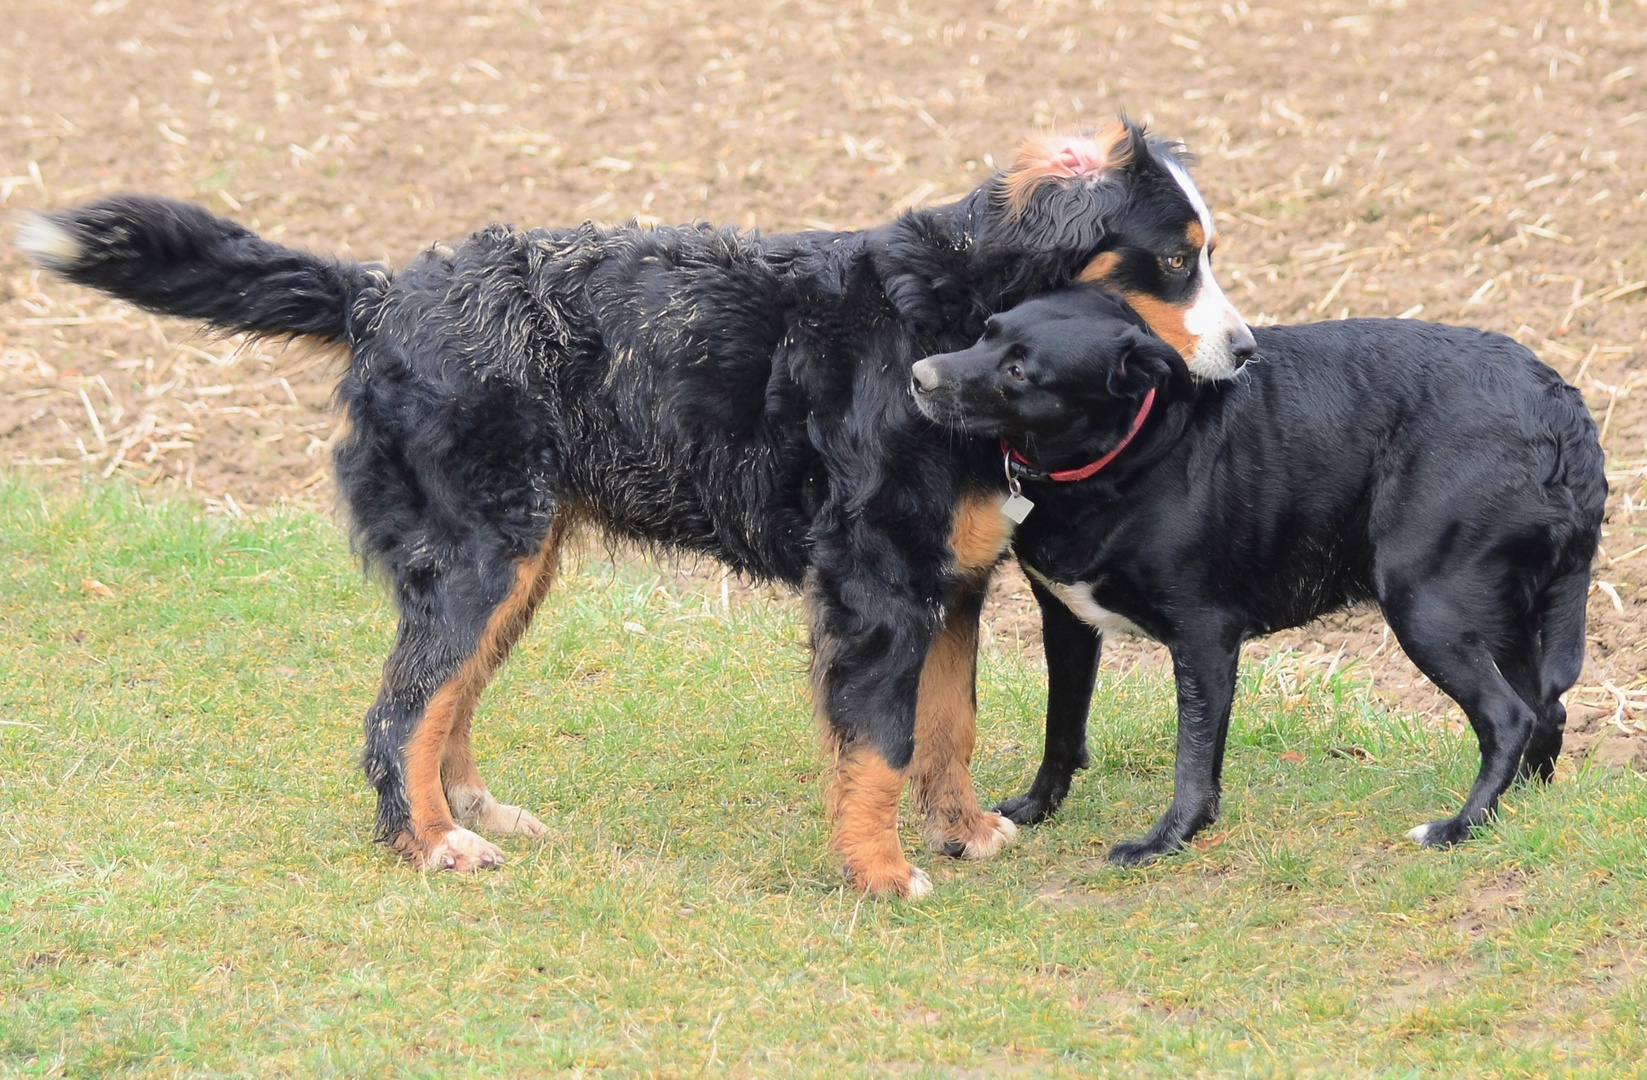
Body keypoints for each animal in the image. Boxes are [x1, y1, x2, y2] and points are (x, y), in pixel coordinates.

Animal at [22, 120, 1245, 895]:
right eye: (1174, 261)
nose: (1243, 350)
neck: (954, 318)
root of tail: (382, 293)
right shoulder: (878, 582)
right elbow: (882, 743)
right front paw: (881, 873)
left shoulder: (950, 584)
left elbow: (949, 729)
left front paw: (961, 834)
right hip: (484, 553)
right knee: (397, 714)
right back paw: (429, 847)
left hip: (519, 558)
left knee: (442, 701)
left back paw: (472, 814)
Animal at [909, 286, 1600, 862]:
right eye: (985, 333)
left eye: (1019, 371)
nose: (918, 376)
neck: (1133, 451)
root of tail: (1562, 407)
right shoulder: (1066, 620)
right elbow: (1061, 727)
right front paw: (1035, 809)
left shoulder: (1204, 636)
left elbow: (1193, 758)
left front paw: (1166, 842)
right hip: (1504, 616)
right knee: (1545, 712)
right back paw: (1517, 809)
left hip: (1426, 604)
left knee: (1510, 718)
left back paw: (1460, 827)